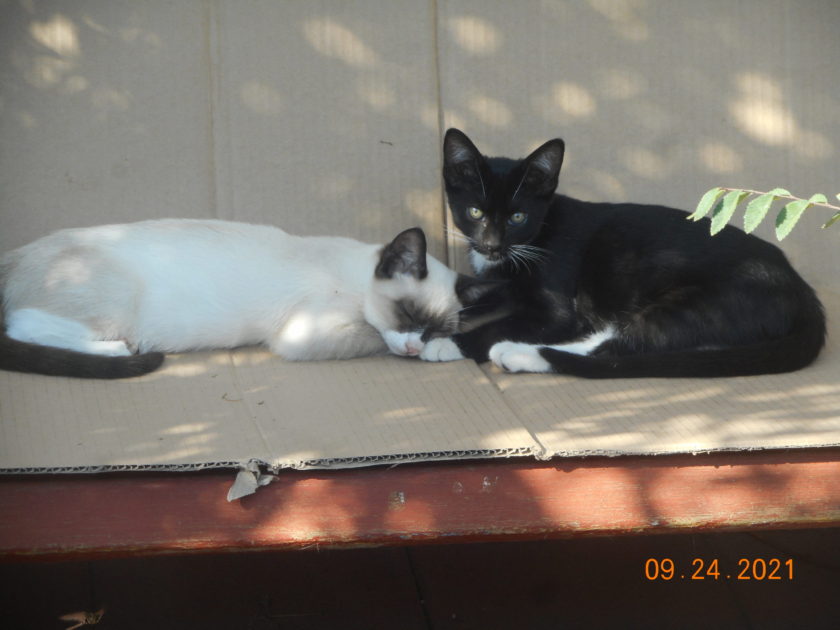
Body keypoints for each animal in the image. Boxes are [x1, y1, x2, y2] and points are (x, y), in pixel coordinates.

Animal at [0, 221, 496, 380]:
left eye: (435, 326)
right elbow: (374, 337)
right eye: (407, 314)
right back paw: (121, 349)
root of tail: (12, 254)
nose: (415, 346)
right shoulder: (307, 334)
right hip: (116, 301)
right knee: (24, 326)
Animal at [420, 126, 828, 378]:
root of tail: (803, 291)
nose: (491, 244)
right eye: (475, 212)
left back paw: (517, 353)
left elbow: (505, 323)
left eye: (518, 216)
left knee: (621, 349)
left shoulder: (557, 308)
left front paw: (446, 343)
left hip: (700, 300)